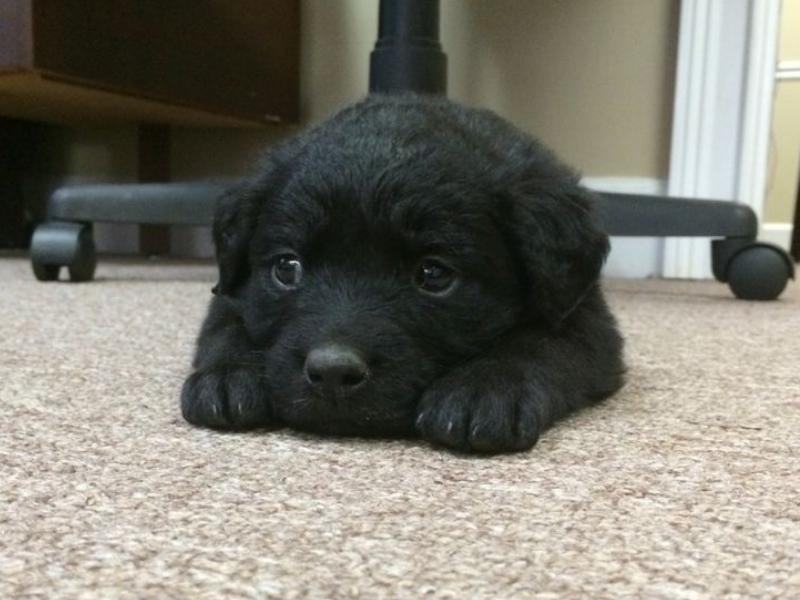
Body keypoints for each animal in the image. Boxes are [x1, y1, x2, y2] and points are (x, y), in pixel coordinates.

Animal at [180, 94, 624, 452]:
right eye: (288, 267)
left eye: (433, 274)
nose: (333, 372)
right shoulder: (231, 294)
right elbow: (227, 328)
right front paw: (228, 376)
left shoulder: (585, 317)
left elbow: (538, 344)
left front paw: (484, 389)